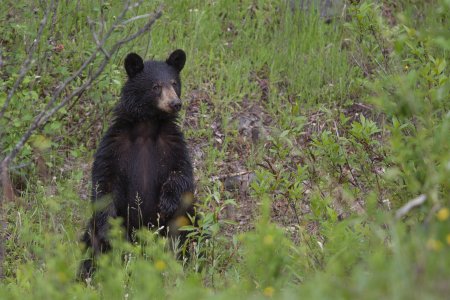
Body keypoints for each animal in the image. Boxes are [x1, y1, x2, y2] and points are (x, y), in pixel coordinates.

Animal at [79, 49, 195, 278]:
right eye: (156, 86)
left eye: (174, 83)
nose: (175, 103)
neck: (147, 126)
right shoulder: (114, 144)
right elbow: (104, 181)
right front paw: (110, 230)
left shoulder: (173, 143)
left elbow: (182, 173)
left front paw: (167, 200)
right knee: (91, 239)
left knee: (185, 226)